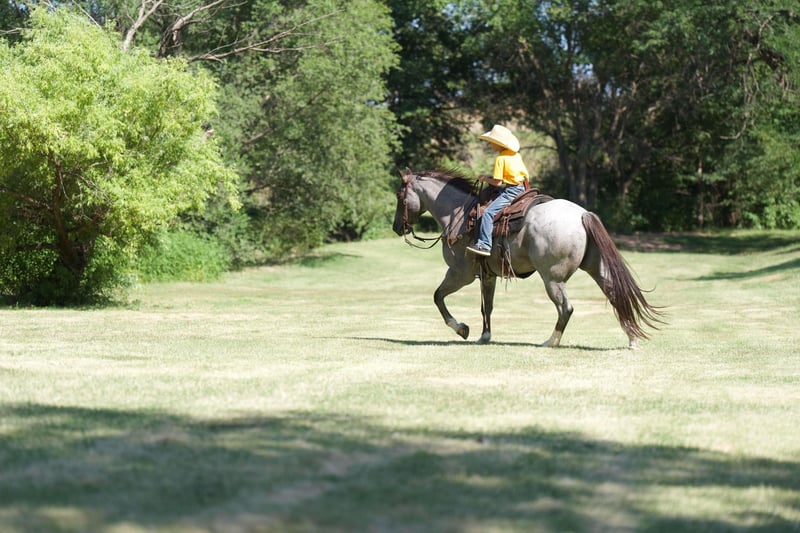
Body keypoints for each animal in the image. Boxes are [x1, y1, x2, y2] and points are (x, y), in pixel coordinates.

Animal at [392, 168, 663, 349]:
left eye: (399, 196)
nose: (396, 227)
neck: (459, 214)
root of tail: (582, 214)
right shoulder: (487, 275)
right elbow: (486, 307)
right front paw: (484, 336)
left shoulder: (460, 274)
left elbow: (438, 297)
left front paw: (461, 329)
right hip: (596, 268)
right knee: (616, 295)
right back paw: (632, 338)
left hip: (552, 278)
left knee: (566, 308)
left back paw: (550, 341)